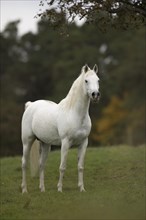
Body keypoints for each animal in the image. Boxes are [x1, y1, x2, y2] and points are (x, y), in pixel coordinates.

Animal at [20, 64, 100, 193]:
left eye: (98, 80)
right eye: (86, 80)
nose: (95, 95)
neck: (74, 113)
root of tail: (30, 105)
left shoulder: (83, 143)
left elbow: (80, 166)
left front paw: (82, 188)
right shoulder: (65, 142)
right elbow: (62, 167)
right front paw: (60, 189)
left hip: (45, 144)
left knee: (41, 164)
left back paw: (42, 189)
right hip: (27, 141)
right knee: (24, 163)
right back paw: (24, 190)